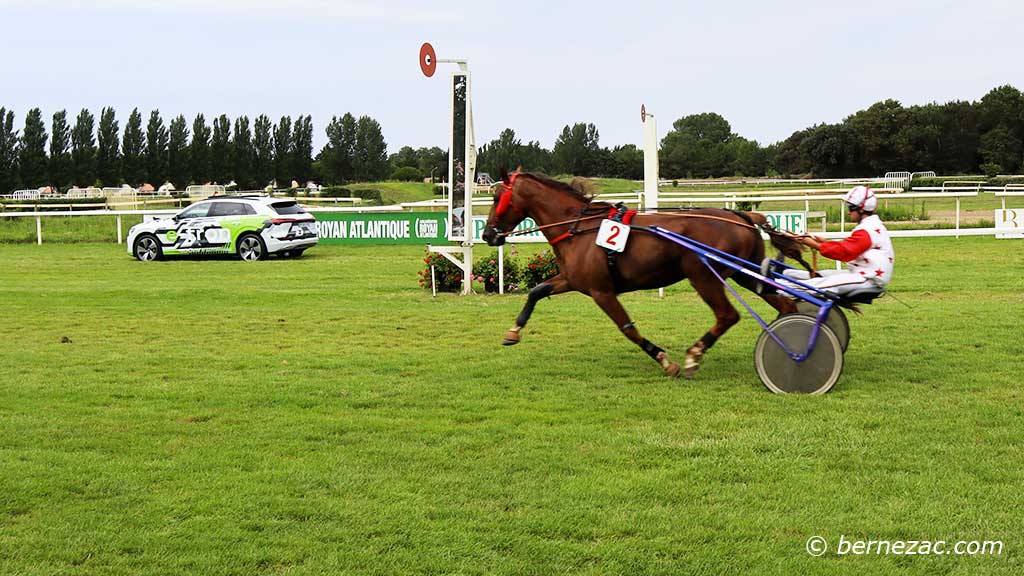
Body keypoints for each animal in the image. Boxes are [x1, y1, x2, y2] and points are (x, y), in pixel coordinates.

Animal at [481, 167, 806, 377]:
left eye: (497, 198)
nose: (487, 235)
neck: (579, 228)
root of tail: (743, 215)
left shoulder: (602, 291)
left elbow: (628, 329)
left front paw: (665, 360)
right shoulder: (572, 280)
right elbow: (536, 292)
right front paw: (513, 331)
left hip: (703, 276)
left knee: (728, 315)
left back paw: (694, 355)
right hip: (746, 273)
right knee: (785, 305)